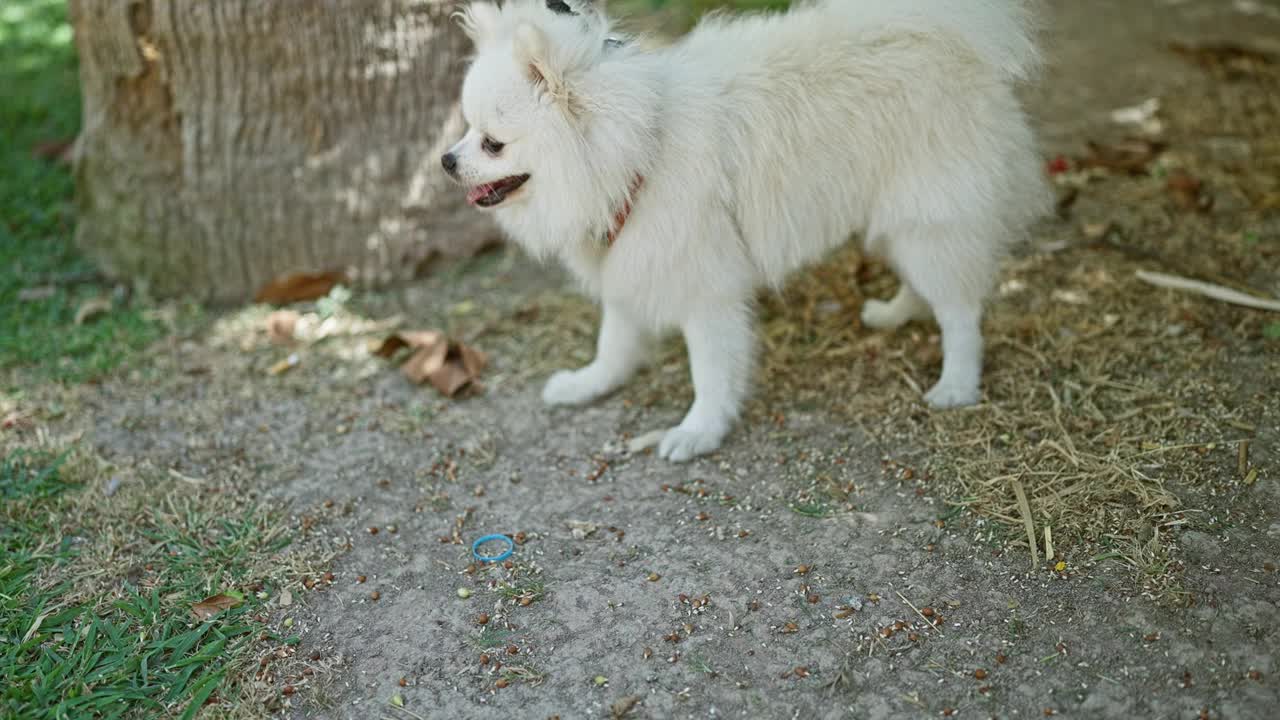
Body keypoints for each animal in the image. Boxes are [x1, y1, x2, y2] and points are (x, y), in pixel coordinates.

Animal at [445, 0, 1044, 458]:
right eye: (465, 128)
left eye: (492, 143)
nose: (447, 161)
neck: (638, 153)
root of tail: (953, 37)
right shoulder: (633, 257)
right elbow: (615, 339)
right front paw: (589, 383)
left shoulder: (703, 285)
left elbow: (710, 371)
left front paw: (697, 432)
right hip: (897, 224)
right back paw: (894, 313)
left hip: (926, 219)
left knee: (959, 310)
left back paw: (956, 384)